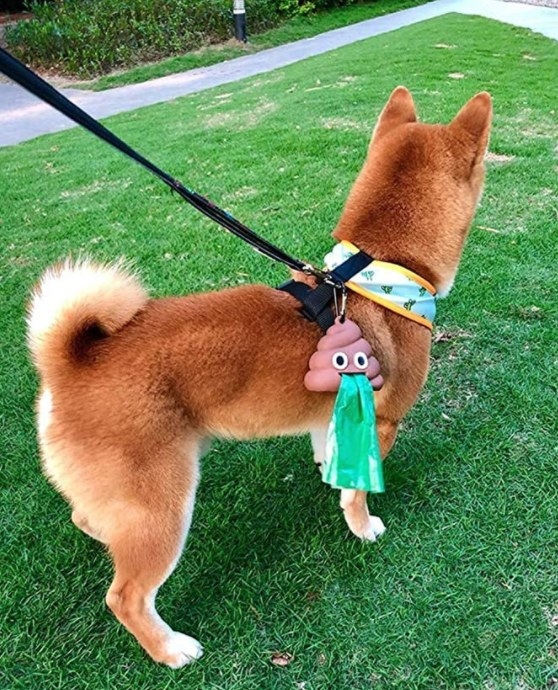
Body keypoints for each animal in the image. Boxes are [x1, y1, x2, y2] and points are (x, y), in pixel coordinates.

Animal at [28, 87, 494, 668]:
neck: (376, 275)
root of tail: (69, 362)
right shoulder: (383, 420)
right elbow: (358, 495)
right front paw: (363, 527)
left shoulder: (334, 414)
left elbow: (330, 457)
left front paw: (330, 475)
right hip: (164, 503)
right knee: (127, 596)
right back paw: (170, 650)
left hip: (129, 496)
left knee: (89, 518)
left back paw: (102, 537)